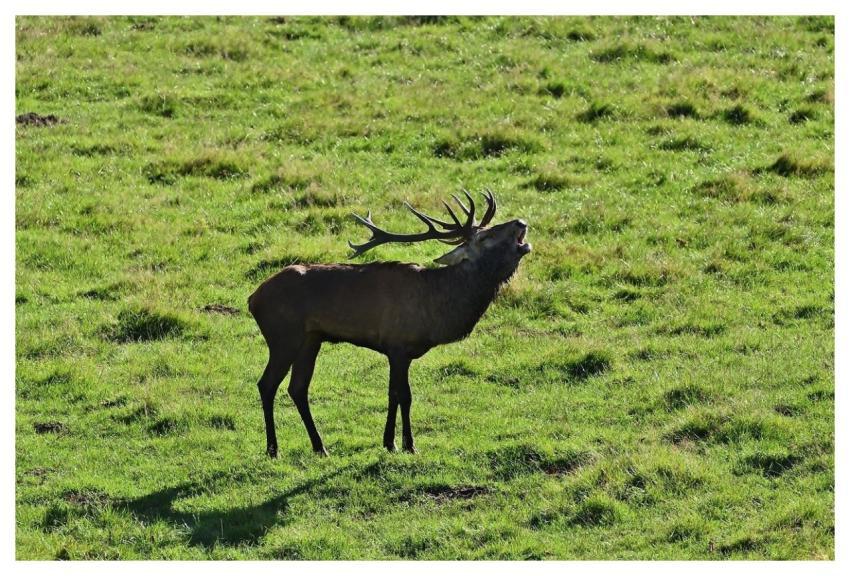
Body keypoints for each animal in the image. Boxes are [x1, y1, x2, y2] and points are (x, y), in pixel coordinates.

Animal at [247, 190, 531, 457]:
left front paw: (389, 442)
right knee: (267, 384)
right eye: (484, 238)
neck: (437, 308)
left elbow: (393, 393)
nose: (521, 222)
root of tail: (252, 299)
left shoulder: (397, 351)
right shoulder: (398, 345)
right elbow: (404, 395)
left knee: (298, 388)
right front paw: (408, 445)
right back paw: (273, 449)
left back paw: (320, 447)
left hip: (311, 339)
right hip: (284, 337)